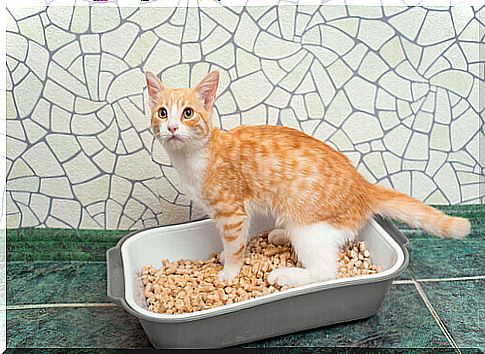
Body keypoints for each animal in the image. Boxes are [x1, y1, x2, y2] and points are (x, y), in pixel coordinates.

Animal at [144, 70, 468, 286]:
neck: (194, 157)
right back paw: (278, 234)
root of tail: (362, 184)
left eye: (188, 113)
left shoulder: (232, 214)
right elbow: (231, 244)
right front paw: (225, 257)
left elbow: (235, 246)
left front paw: (229, 271)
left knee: (325, 271)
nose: (172, 127)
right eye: (162, 113)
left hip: (308, 227)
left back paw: (286, 275)